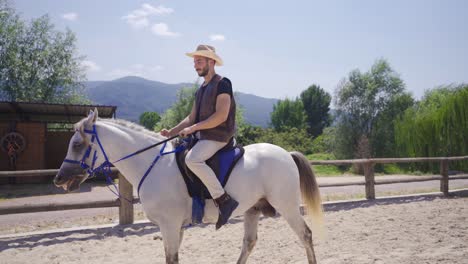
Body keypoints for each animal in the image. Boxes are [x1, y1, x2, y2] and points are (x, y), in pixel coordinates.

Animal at [54, 109, 324, 262]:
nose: (59, 179)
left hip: (286, 206)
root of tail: (286, 154)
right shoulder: (175, 227)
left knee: (306, 235)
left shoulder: (170, 225)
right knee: (249, 243)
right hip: (252, 209)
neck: (152, 164)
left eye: (77, 144)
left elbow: (171, 259)